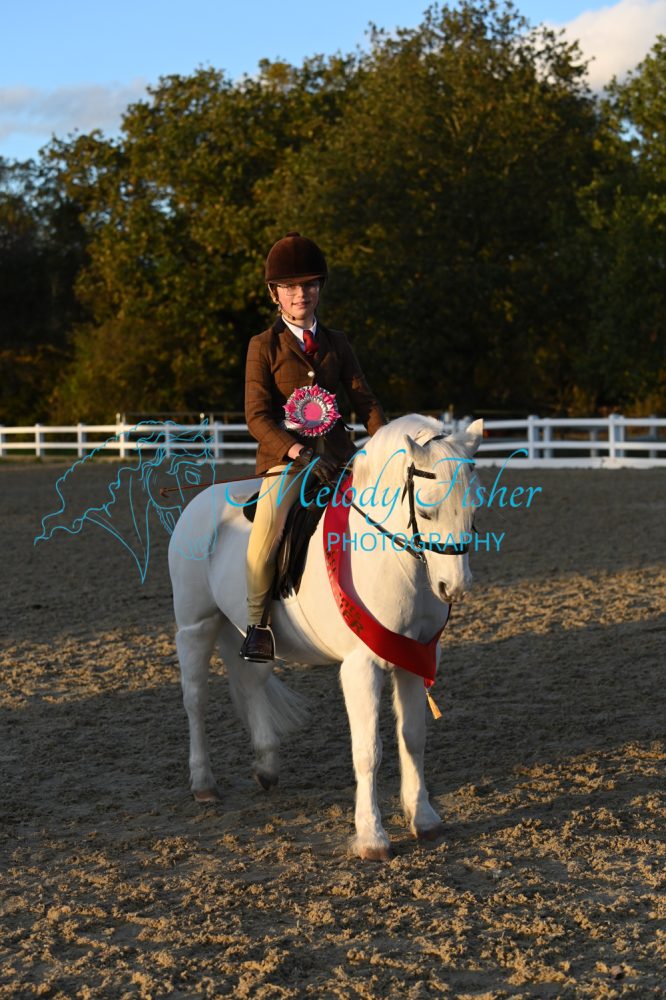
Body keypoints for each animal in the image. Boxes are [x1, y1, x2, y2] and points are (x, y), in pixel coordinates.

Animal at [169, 414, 483, 860]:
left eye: (473, 509)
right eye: (426, 510)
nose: (454, 587)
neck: (396, 561)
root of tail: (199, 503)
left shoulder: (413, 656)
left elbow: (413, 738)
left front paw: (424, 819)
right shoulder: (361, 665)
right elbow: (368, 750)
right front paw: (372, 837)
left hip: (247, 632)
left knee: (251, 681)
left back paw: (267, 767)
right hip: (195, 625)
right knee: (195, 699)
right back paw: (204, 784)